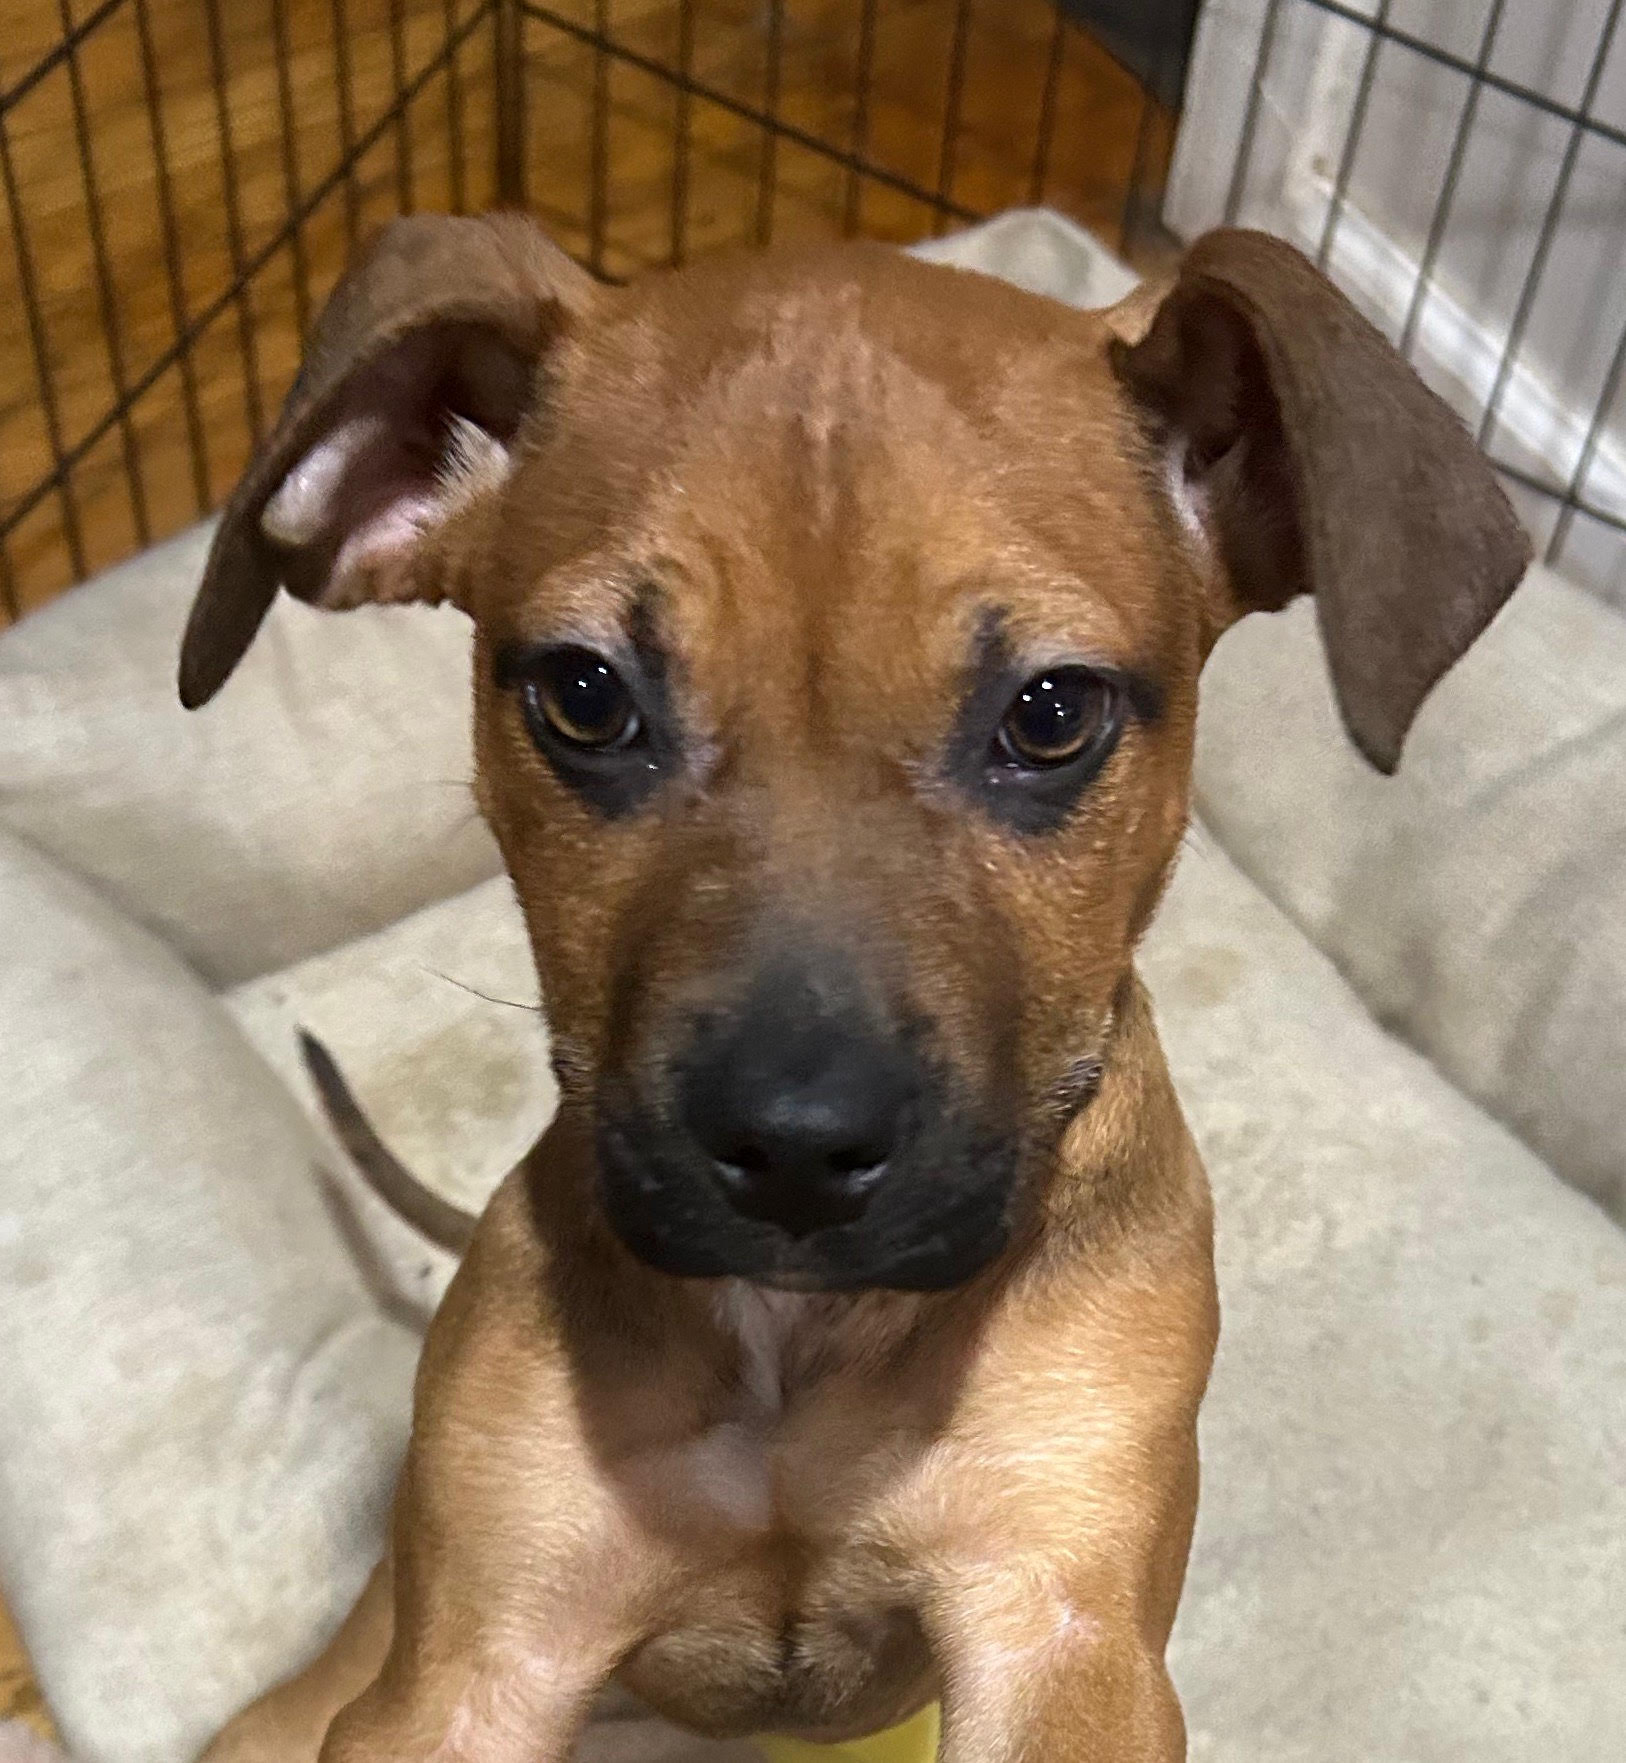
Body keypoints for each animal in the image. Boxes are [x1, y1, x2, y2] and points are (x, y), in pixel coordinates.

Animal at [180, 214, 1528, 1763]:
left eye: (1051, 713)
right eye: (584, 694)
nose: (794, 1151)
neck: (799, 1343)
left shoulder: (1063, 1623)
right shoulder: (471, 1664)